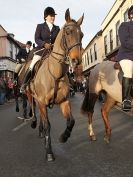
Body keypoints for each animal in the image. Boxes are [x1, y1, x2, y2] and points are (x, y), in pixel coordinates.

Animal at [17, 9, 83, 162]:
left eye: (81, 35)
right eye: (68, 32)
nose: (76, 61)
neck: (55, 74)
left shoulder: (64, 101)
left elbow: (71, 121)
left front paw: (63, 137)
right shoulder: (42, 101)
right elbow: (48, 125)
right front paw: (49, 152)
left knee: (41, 114)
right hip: (30, 94)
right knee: (33, 109)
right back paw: (34, 123)